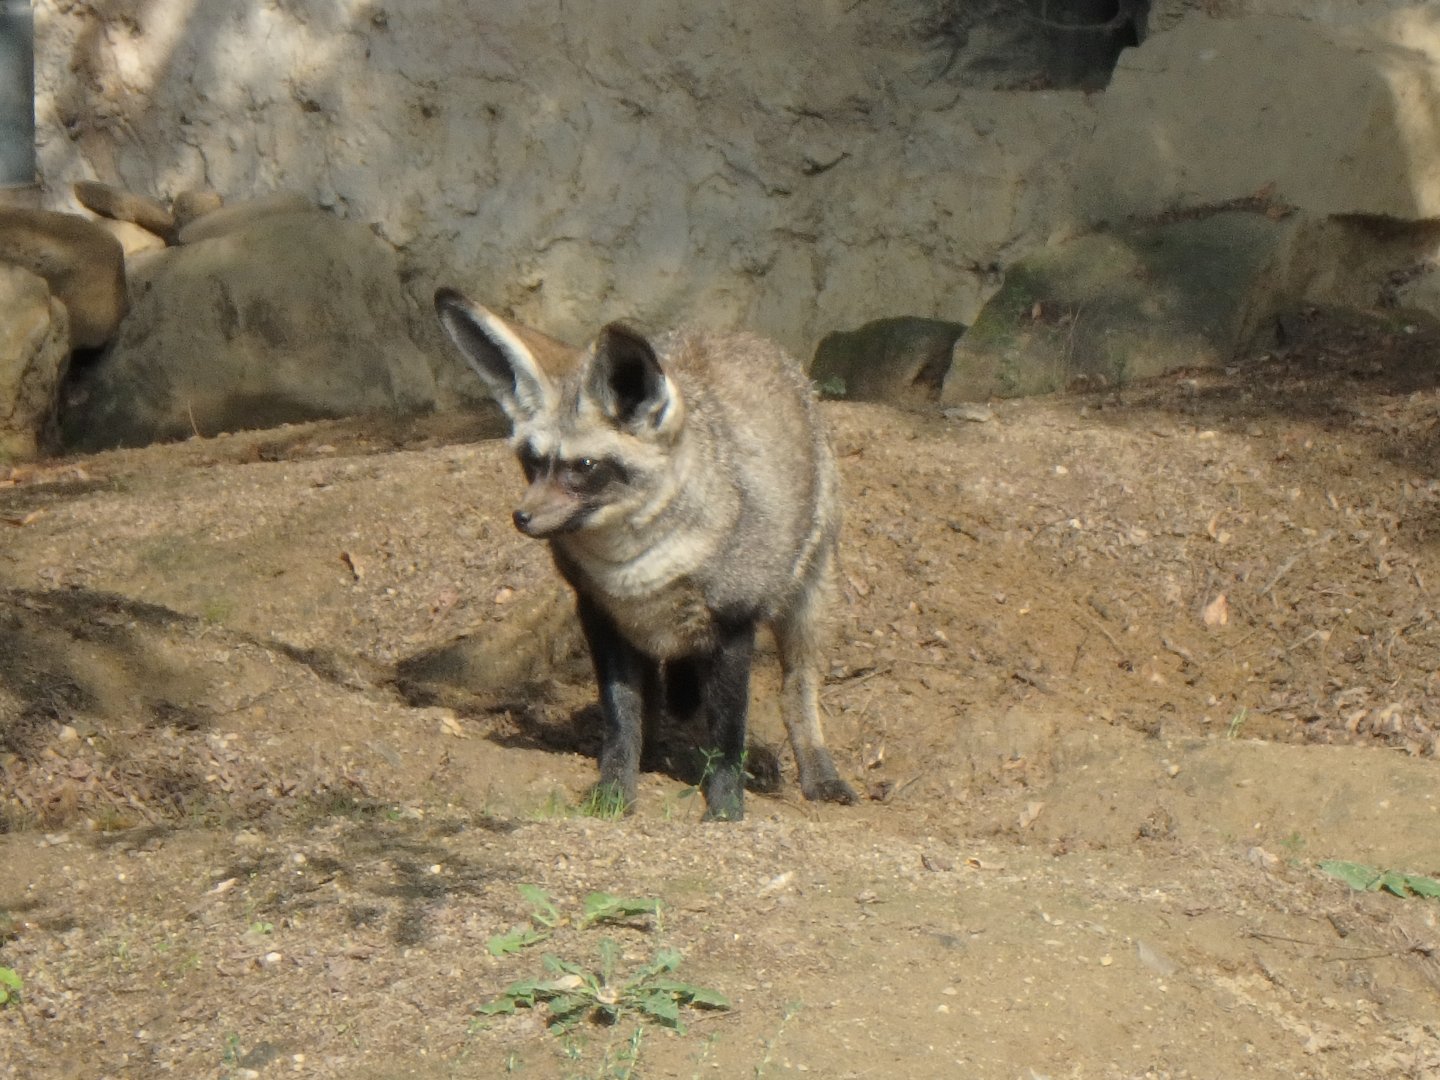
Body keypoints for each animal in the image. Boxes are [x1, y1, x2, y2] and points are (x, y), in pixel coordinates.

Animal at [434, 286, 858, 821]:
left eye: (584, 467)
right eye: (531, 461)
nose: (521, 517)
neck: (635, 570)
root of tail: (737, 335)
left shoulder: (733, 624)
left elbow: (728, 733)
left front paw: (725, 810)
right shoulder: (603, 617)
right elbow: (623, 721)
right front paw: (615, 791)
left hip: (808, 603)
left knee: (794, 692)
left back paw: (818, 773)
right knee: (665, 699)